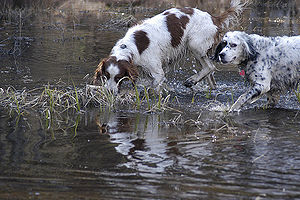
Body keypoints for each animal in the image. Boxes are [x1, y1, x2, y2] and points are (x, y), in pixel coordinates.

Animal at [93, 0, 246, 94]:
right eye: (106, 76)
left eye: (118, 78)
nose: (109, 92)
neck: (131, 47)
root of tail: (214, 18)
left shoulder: (157, 72)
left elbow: (155, 87)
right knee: (210, 75)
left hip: (194, 44)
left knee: (210, 67)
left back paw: (191, 81)